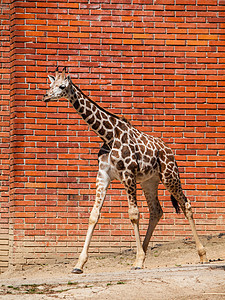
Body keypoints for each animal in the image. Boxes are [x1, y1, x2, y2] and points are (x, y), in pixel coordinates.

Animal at [42, 68, 207, 274]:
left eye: (62, 86)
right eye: (51, 84)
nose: (46, 96)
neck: (108, 135)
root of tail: (169, 151)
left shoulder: (128, 175)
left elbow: (133, 214)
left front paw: (137, 260)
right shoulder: (102, 176)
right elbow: (93, 215)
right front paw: (79, 264)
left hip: (170, 175)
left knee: (186, 205)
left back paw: (202, 255)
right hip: (150, 181)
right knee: (156, 211)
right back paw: (143, 253)